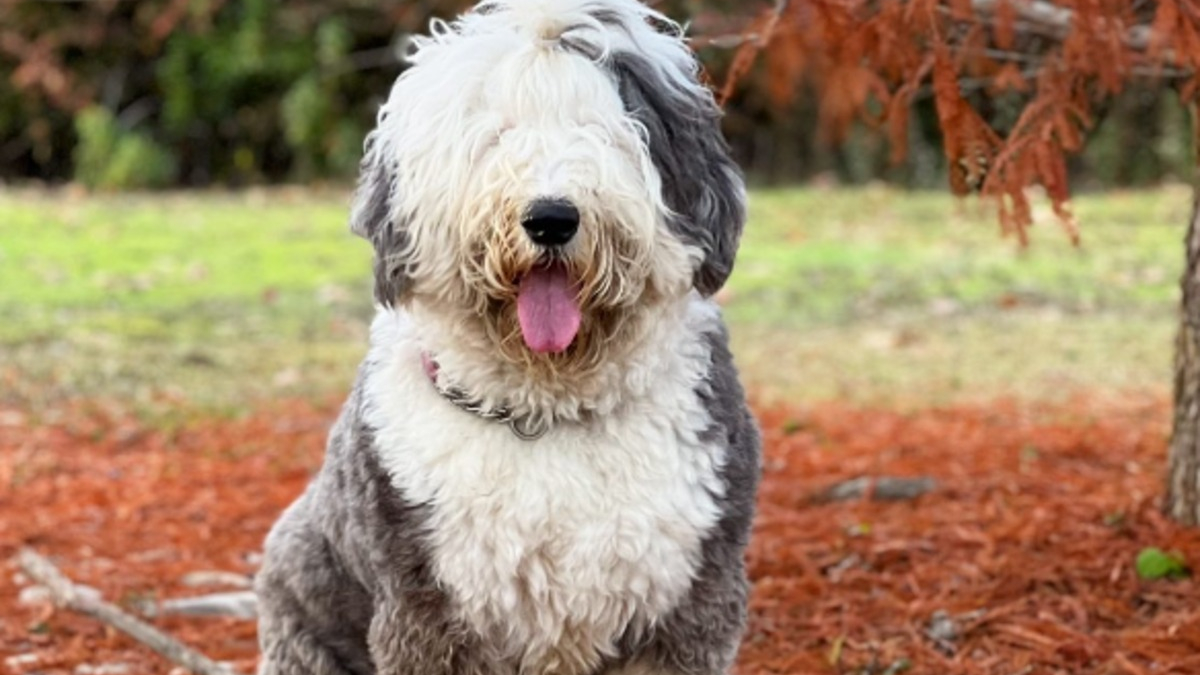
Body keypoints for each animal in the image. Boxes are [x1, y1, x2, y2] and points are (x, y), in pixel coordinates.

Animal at [254, 0, 763, 667]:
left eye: (604, 130)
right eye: (494, 133)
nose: (551, 217)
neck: (545, 410)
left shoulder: (689, 601)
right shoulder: (429, 609)